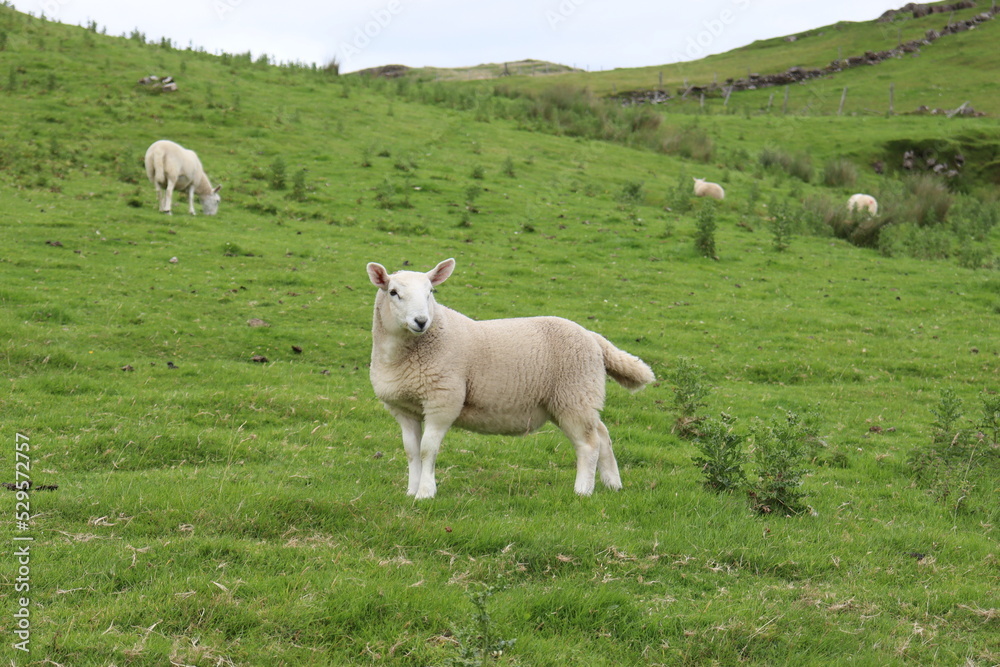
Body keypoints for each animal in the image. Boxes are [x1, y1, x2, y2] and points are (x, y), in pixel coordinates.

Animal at [367, 258, 656, 500]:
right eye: (393, 292)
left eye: (431, 292)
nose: (421, 321)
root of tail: (592, 336)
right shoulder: (404, 409)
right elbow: (412, 452)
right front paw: (411, 491)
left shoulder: (443, 401)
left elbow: (428, 449)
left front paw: (426, 493)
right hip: (575, 397)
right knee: (602, 434)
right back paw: (612, 484)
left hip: (574, 393)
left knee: (589, 443)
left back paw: (583, 490)